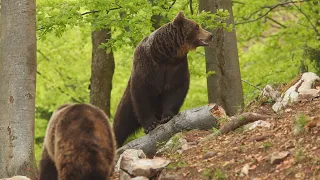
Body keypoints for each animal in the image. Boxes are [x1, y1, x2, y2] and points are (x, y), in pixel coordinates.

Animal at [112, 11, 212, 147]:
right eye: (197, 26)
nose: (210, 35)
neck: (165, 55)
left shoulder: (176, 67)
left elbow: (176, 89)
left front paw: (167, 117)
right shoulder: (147, 65)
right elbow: (142, 92)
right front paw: (150, 125)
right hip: (128, 100)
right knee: (122, 120)